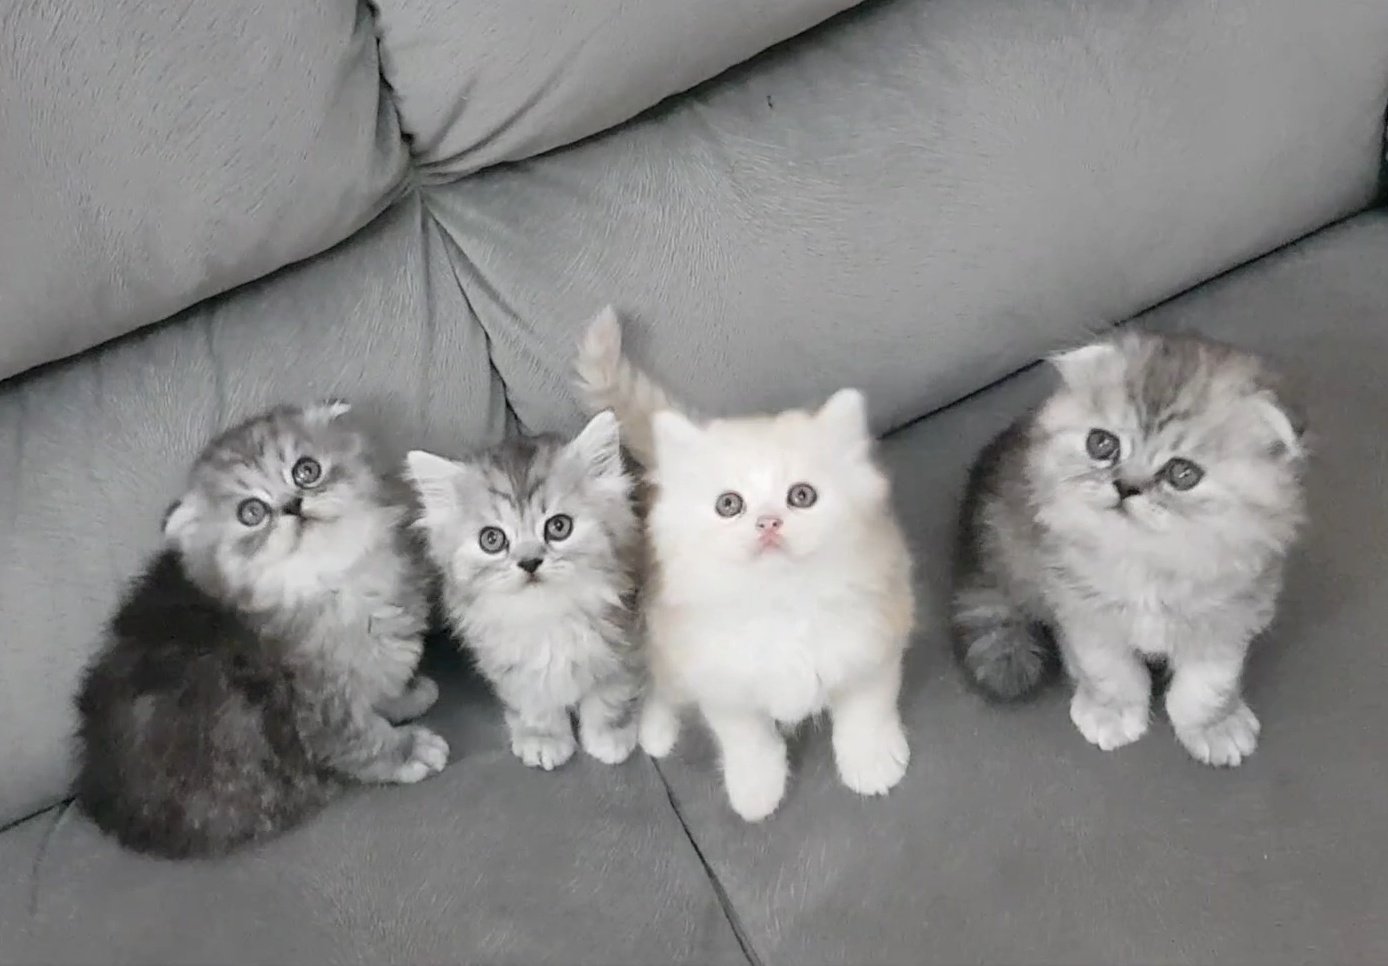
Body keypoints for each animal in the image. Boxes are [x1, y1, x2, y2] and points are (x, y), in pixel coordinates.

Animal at [75, 402, 448, 859]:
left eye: (306, 470)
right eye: (251, 512)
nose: (292, 504)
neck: (336, 583)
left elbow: (380, 687)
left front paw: (406, 696)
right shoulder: (318, 707)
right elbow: (363, 738)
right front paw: (410, 750)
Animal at [405, 410, 643, 771]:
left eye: (559, 526)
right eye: (492, 539)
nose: (529, 562)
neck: (546, 617)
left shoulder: (624, 641)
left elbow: (609, 692)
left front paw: (609, 734)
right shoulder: (505, 661)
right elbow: (533, 699)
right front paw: (543, 737)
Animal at [575, 307, 916, 822]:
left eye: (801, 496)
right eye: (729, 504)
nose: (768, 522)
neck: (781, 604)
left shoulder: (874, 634)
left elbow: (865, 709)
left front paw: (871, 764)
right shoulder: (721, 678)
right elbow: (747, 740)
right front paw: (757, 792)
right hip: (668, 639)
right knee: (664, 685)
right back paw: (655, 733)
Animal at [951, 329, 1307, 766]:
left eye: (1182, 473)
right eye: (1102, 444)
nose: (1125, 486)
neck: (1145, 562)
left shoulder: (1229, 617)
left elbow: (1206, 687)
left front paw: (1214, 726)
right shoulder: (1082, 608)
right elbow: (1110, 671)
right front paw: (1112, 712)